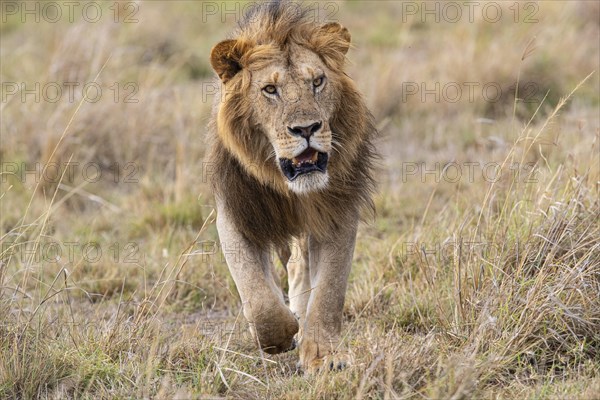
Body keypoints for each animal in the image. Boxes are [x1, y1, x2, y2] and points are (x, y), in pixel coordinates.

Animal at [205, 0, 376, 372]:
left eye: (318, 82)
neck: (289, 188)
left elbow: (329, 292)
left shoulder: (337, 214)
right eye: (270, 90)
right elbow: (259, 298)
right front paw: (278, 337)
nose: (307, 128)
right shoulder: (236, 214)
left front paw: (324, 355)